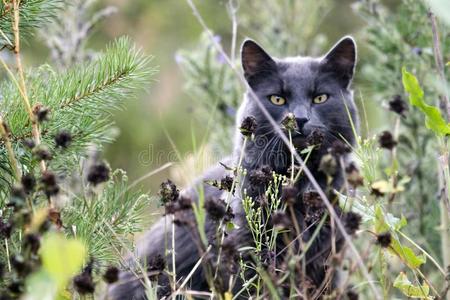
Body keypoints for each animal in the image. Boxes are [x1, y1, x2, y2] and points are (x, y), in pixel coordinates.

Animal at [107, 36, 356, 298]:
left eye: (320, 98)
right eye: (277, 99)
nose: (298, 118)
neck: (296, 184)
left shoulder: (328, 260)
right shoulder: (246, 252)